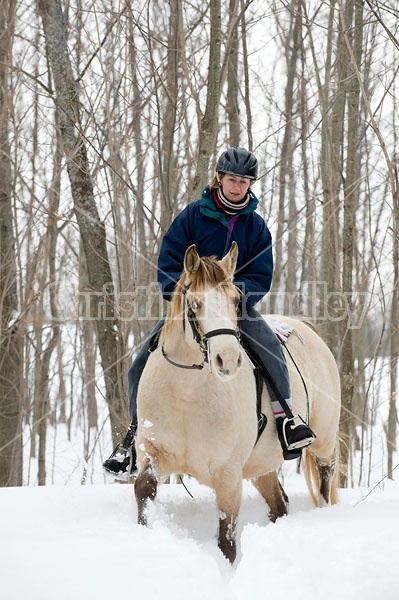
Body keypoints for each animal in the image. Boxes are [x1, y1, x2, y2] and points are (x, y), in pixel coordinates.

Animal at [134, 243, 340, 564]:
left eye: (234, 300)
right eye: (195, 304)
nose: (228, 360)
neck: (187, 394)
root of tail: (306, 328)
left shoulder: (228, 477)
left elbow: (226, 541)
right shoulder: (153, 450)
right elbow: (143, 488)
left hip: (323, 442)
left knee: (325, 478)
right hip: (262, 465)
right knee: (279, 504)